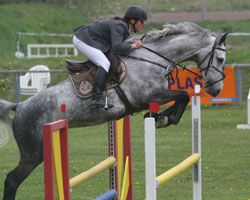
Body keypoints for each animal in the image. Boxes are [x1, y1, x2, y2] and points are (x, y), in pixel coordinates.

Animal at [0, 22, 228, 200]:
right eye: (220, 59)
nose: (216, 90)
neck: (154, 59)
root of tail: (19, 106)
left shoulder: (153, 97)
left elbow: (182, 97)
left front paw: (160, 118)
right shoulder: (147, 96)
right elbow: (183, 95)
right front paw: (163, 118)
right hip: (33, 153)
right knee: (12, 180)